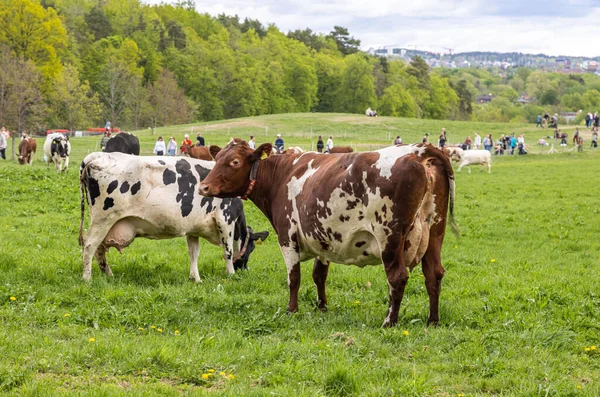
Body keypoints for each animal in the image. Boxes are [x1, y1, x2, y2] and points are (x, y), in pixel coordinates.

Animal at [78, 152, 268, 282]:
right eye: (252, 248)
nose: (245, 269)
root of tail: (97, 156)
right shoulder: (225, 219)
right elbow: (228, 251)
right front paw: (231, 274)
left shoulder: (193, 228)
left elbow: (194, 252)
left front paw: (195, 278)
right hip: (104, 218)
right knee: (90, 245)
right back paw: (87, 278)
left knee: (99, 248)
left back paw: (108, 274)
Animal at [199, 138, 458, 324]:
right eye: (218, 157)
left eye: (234, 162)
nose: (203, 186)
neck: (281, 175)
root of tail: (419, 150)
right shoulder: (323, 238)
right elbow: (319, 275)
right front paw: (322, 306)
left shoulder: (287, 237)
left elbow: (294, 278)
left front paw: (292, 310)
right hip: (435, 232)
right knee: (434, 273)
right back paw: (433, 320)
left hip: (389, 236)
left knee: (398, 277)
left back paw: (389, 322)